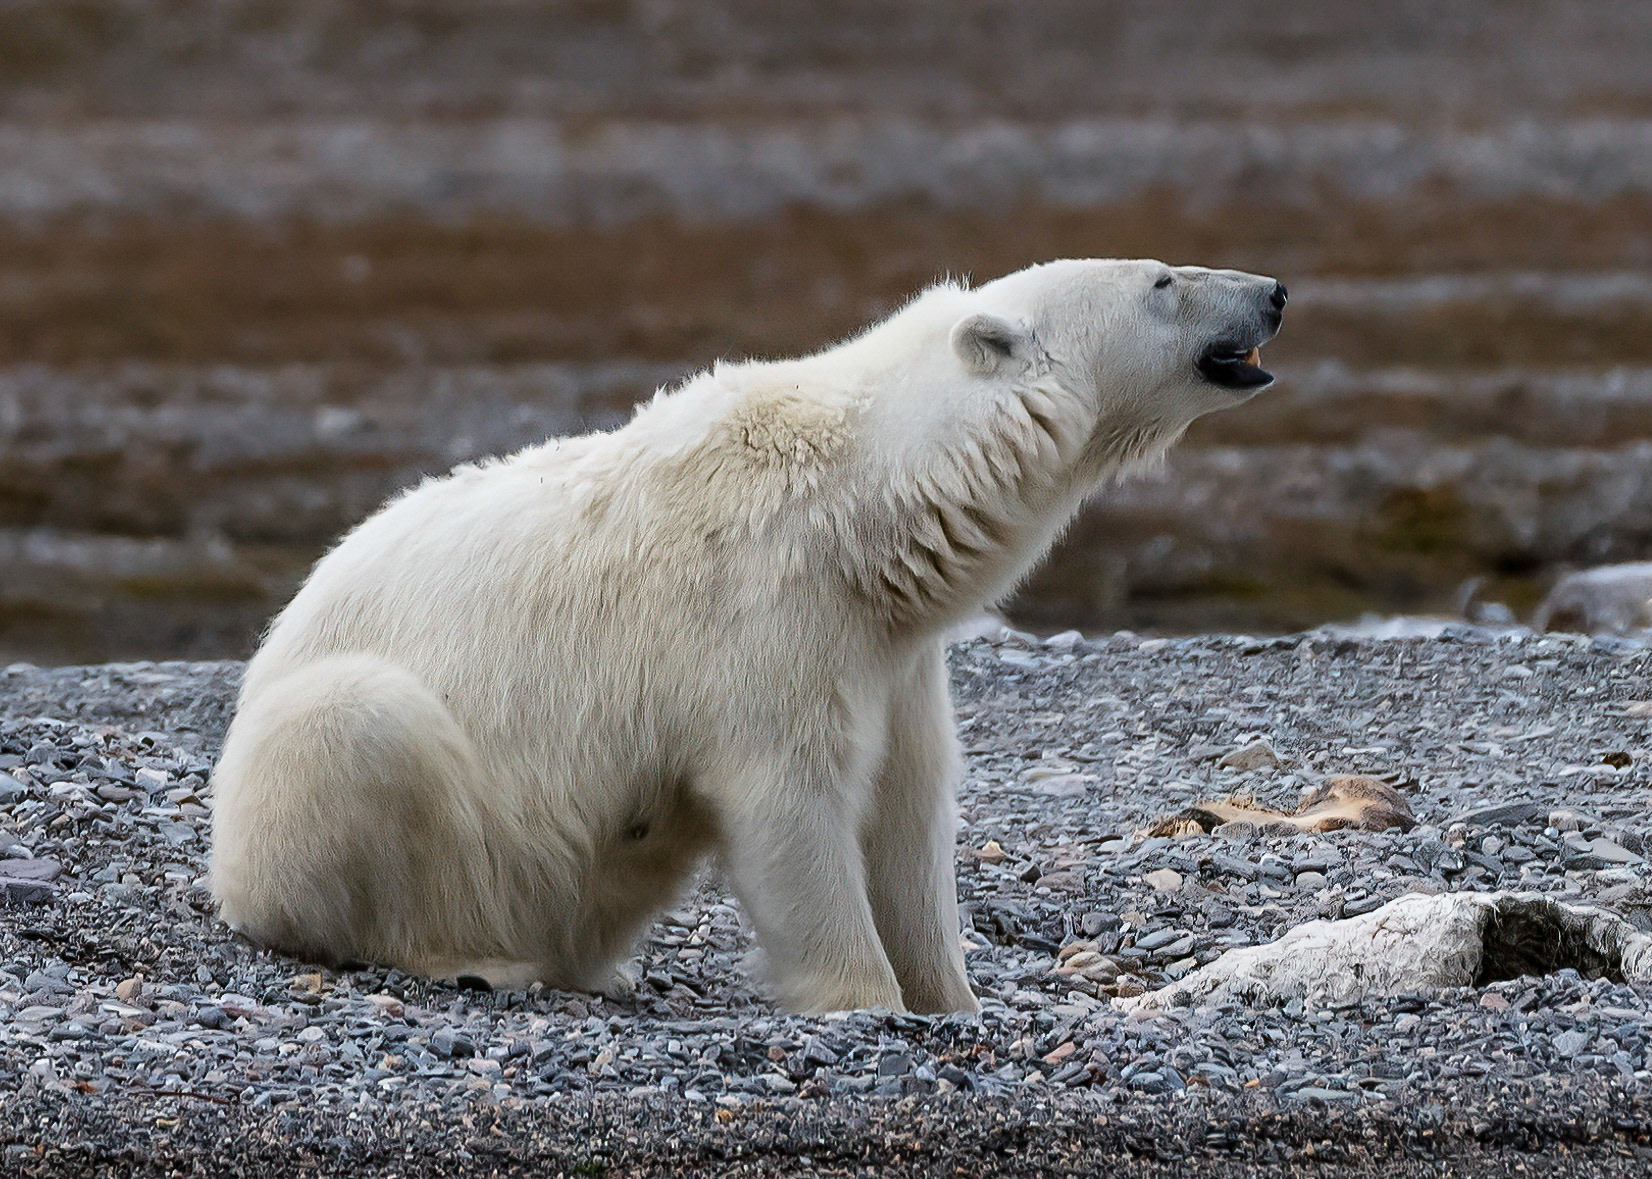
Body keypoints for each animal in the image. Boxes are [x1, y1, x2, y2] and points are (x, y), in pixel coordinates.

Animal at [209, 258, 1286, 1014]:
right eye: (1161, 281)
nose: (1274, 293)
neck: (868, 508)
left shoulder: (892, 652)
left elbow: (909, 812)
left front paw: (952, 997)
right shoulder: (764, 615)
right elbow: (791, 797)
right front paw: (863, 998)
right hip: (324, 793)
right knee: (361, 732)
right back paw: (474, 956)